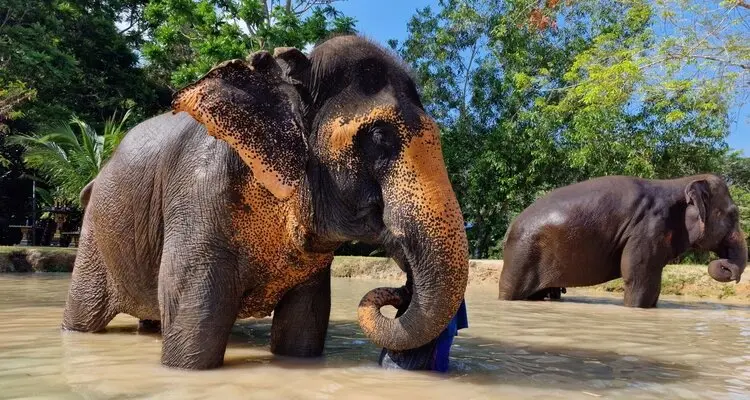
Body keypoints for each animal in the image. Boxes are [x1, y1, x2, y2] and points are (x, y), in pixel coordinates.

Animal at [61, 35, 469, 370]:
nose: (402, 289)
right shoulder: (198, 197)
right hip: (95, 237)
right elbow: (192, 328)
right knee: (83, 313)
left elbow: (303, 327)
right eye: (380, 137)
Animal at [498, 174, 747, 307]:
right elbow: (638, 278)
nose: (728, 270)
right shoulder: (647, 228)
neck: (681, 183)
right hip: (521, 254)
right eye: (733, 214)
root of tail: (510, 225)